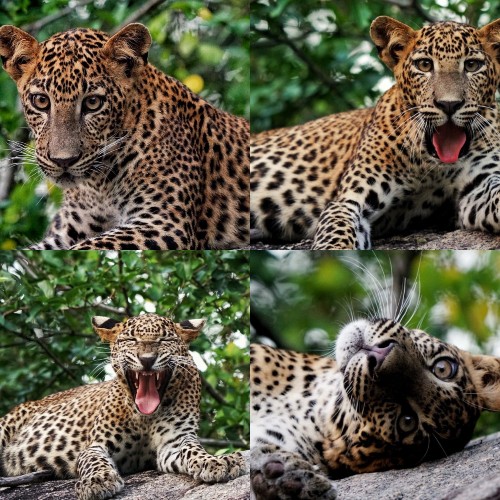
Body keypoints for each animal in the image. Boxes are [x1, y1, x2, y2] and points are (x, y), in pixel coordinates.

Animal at [0, 23, 249, 250]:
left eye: (93, 102)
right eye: (41, 101)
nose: (63, 161)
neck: (99, 187)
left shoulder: (164, 223)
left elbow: (90, 245)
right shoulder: (66, 231)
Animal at [0, 314, 247, 498]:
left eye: (163, 340)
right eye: (131, 340)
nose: (147, 359)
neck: (145, 417)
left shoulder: (173, 443)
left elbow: (193, 450)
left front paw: (216, 462)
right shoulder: (97, 445)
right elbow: (93, 461)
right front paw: (98, 481)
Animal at [252, 15, 500, 250]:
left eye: (472, 65)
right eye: (424, 65)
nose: (449, 105)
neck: (431, 164)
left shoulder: (475, 188)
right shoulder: (349, 201)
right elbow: (336, 237)